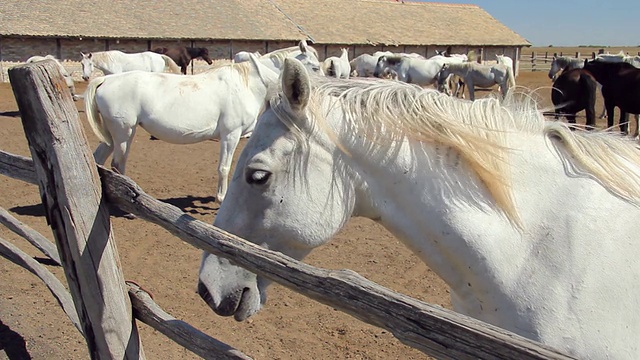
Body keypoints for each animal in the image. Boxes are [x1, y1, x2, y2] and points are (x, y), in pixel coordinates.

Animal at [82, 54, 278, 204]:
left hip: (112, 136)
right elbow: (224, 167)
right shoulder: (230, 135)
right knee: (117, 164)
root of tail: (106, 79)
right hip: (124, 133)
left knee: (99, 159)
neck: (247, 85)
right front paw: (221, 198)